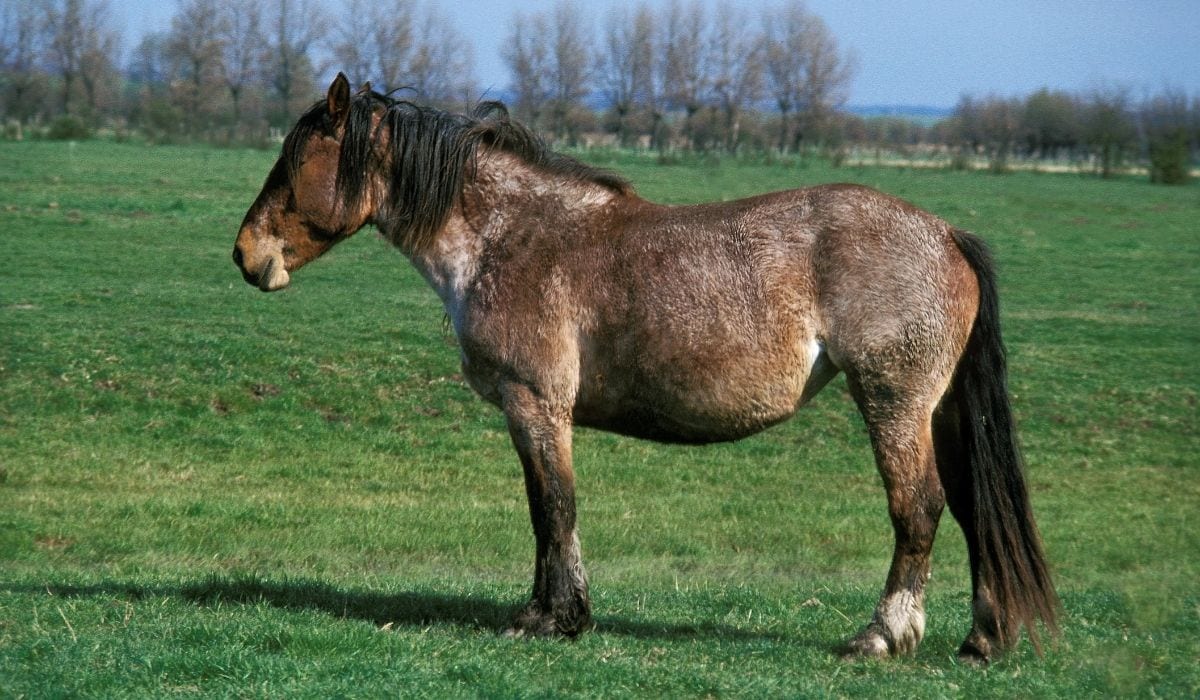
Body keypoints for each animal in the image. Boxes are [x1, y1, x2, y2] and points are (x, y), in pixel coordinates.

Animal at [232, 73, 1058, 663]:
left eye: (295, 161)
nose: (245, 255)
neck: (510, 236)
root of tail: (945, 235)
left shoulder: (535, 404)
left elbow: (553, 507)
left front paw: (552, 618)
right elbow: (546, 510)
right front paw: (555, 612)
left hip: (892, 401)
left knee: (918, 508)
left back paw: (881, 636)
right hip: (938, 409)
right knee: (973, 509)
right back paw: (980, 638)